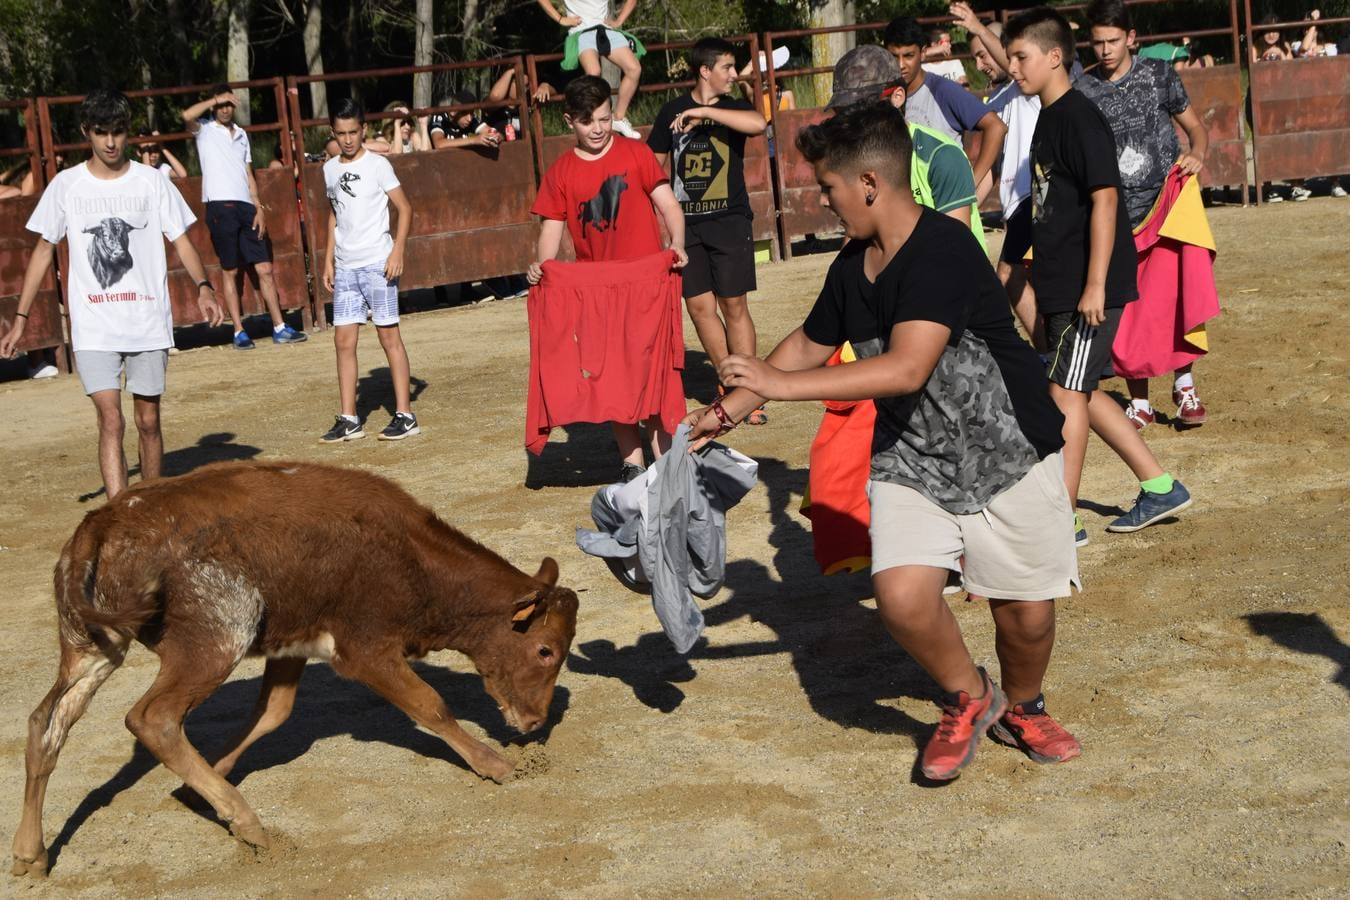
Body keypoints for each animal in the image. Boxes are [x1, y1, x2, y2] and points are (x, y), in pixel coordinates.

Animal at [10, 461, 580, 874]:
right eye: (545, 651)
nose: (534, 723)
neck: (414, 559)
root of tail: (103, 521)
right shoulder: (366, 649)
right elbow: (430, 705)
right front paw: (496, 765)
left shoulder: (291, 649)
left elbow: (273, 713)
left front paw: (199, 789)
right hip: (217, 636)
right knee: (153, 718)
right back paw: (250, 824)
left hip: (93, 646)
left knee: (47, 723)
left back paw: (30, 853)